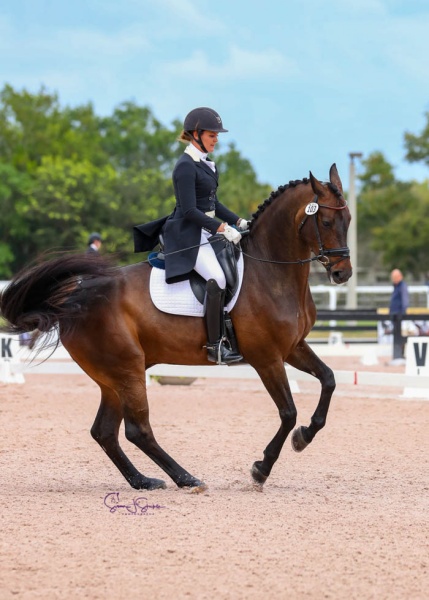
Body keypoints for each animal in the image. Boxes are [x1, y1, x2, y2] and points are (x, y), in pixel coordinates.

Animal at [0, 165, 352, 492]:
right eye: (326, 222)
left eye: (347, 220)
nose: (342, 274)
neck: (271, 271)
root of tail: (75, 296)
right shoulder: (266, 358)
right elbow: (288, 412)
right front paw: (261, 469)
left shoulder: (292, 348)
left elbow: (329, 379)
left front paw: (304, 436)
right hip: (126, 369)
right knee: (137, 430)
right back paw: (186, 478)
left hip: (112, 377)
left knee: (105, 431)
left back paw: (144, 481)